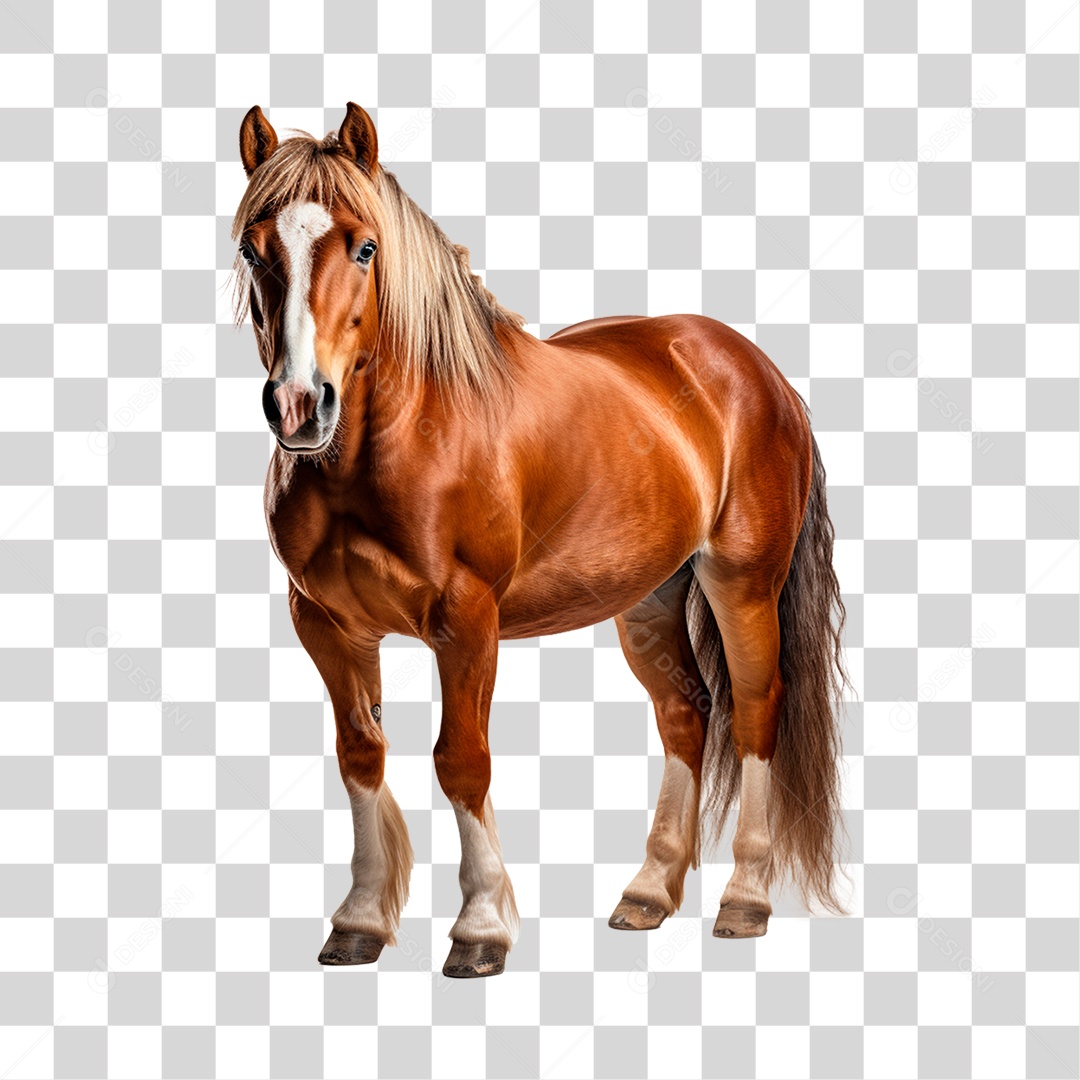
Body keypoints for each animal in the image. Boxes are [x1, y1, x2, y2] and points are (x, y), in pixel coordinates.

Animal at [232, 102, 849, 978]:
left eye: (365, 246)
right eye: (255, 248)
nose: (298, 405)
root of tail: (756, 370)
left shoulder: (466, 622)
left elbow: (461, 760)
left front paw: (481, 928)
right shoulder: (325, 623)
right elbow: (361, 755)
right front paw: (359, 920)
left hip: (743, 582)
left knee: (757, 709)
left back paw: (745, 899)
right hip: (649, 596)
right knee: (686, 714)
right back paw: (649, 893)